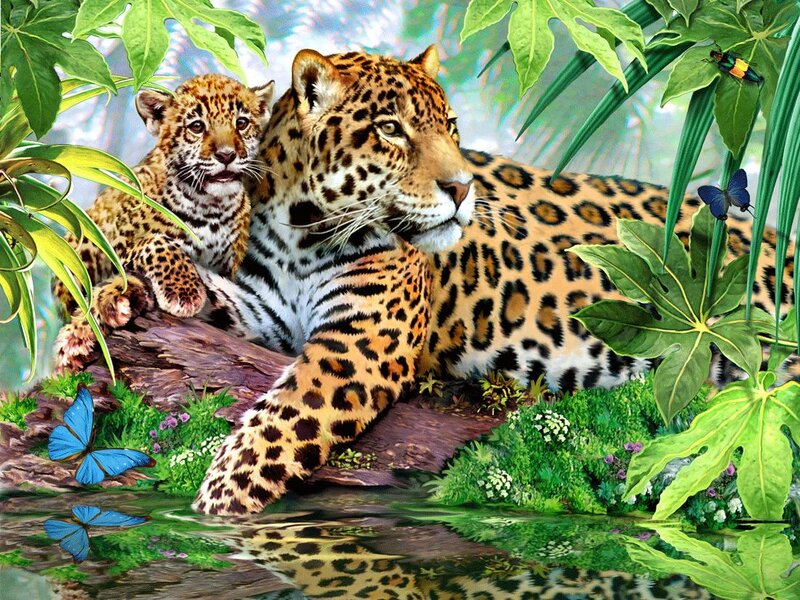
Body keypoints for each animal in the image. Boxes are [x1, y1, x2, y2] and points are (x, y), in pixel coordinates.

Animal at [53, 74, 274, 371]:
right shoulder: (112, 250)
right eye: (196, 126)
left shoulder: (228, 268)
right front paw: (184, 292)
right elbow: (156, 242)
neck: (211, 207)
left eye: (241, 123)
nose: (227, 155)